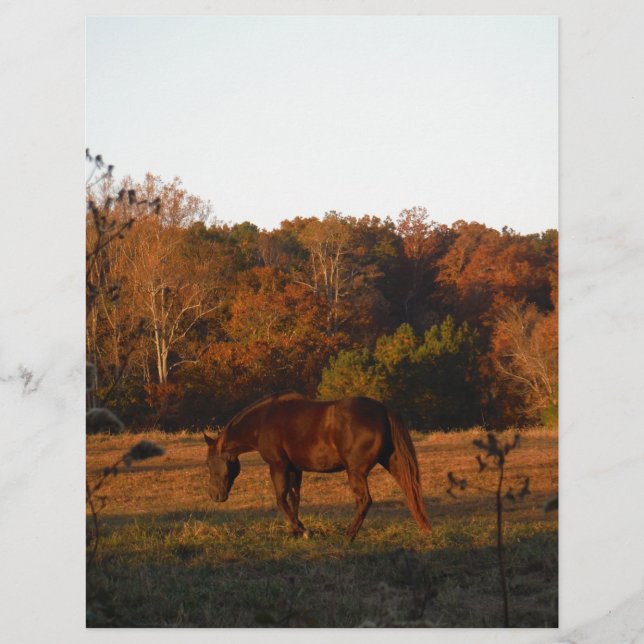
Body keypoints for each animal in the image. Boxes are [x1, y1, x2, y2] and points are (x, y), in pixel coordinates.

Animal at [203, 392, 431, 541]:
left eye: (209, 463)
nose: (215, 496)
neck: (263, 420)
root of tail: (384, 410)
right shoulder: (294, 469)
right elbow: (294, 499)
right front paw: (295, 531)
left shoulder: (278, 466)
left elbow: (281, 500)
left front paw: (304, 531)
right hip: (393, 463)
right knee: (410, 491)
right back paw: (424, 529)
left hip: (356, 472)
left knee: (365, 501)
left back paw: (349, 536)